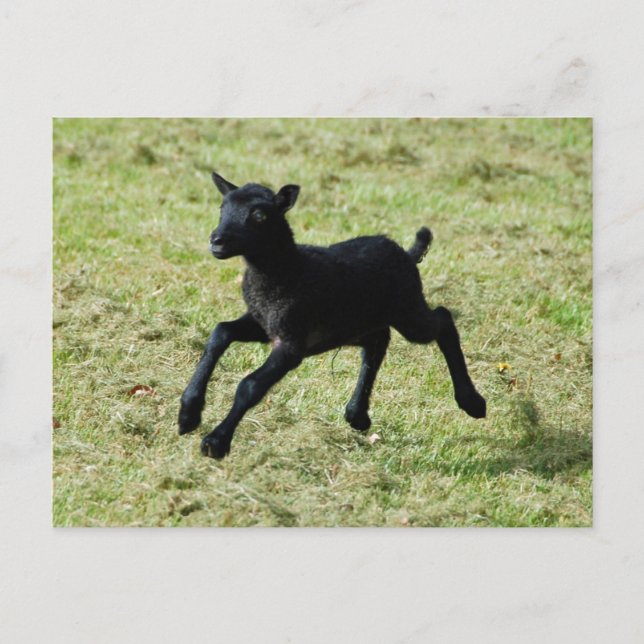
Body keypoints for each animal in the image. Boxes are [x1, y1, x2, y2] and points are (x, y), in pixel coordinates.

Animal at [179, 172, 486, 458]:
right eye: (222, 208)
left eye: (259, 216)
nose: (217, 241)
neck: (288, 270)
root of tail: (407, 254)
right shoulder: (264, 323)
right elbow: (221, 332)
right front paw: (188, 414)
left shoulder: (292, 341)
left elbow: (250, 385)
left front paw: (216, 442)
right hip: (355, 325)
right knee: (377, 344)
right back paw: (357, 414)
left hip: (408, 311)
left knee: (442, 320)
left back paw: (471, 402)